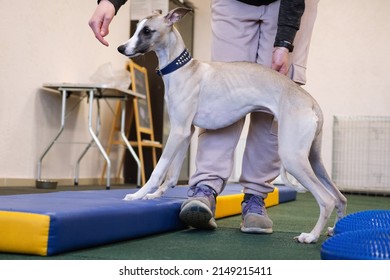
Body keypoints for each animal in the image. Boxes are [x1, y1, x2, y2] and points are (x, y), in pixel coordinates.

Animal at [118, 6, 348, 243]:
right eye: (137, 28)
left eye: (147, 31)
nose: (121, 48)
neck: (183, 69)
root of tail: (311, 101)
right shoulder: (185, 132)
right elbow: (171, 174)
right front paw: (154, 195)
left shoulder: (178, 132)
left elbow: (157, 171)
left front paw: (138, 194)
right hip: (313, 158)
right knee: (340, 197)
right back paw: (335, 230)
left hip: (292, 157)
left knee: (327, 199)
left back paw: (310, 236)